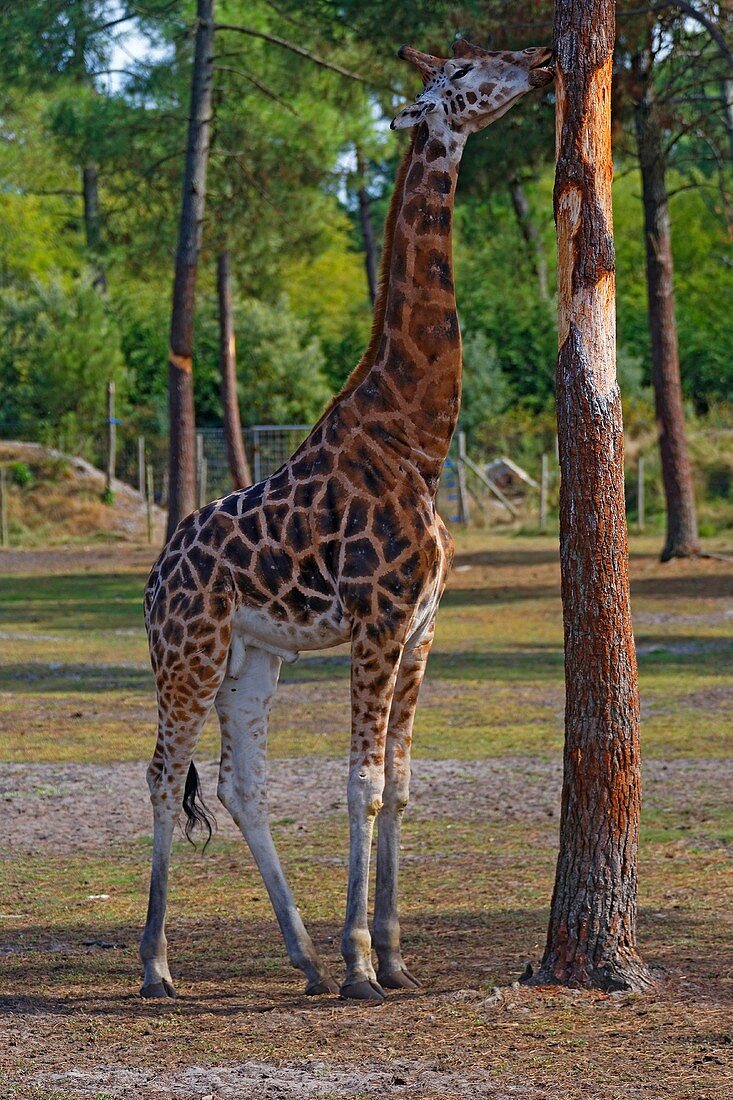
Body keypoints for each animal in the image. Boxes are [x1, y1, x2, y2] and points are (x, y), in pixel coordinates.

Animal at [139, 38, 548, 1003]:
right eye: (467, 71)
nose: (544, 57)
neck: (417, 438)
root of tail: (153, 577)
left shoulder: (423, 627)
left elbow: (397, 782)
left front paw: (393, 956)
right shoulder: (378, 621)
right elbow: (358, 780)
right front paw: (365, 957)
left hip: (251, 655)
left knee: (240, 783)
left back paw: (302, 956)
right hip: (189, 650)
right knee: (164, 772)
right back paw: (159, 965)